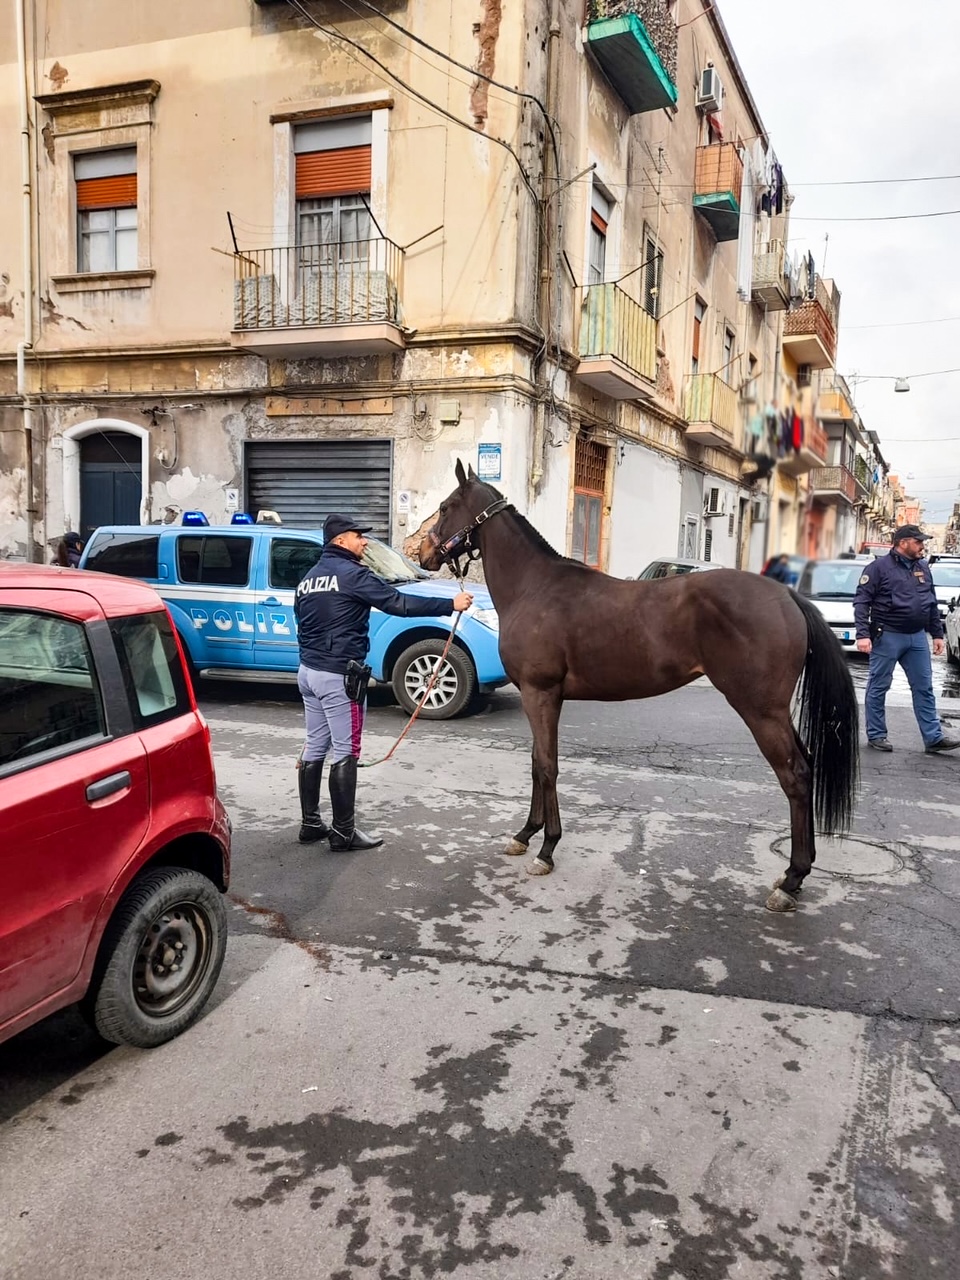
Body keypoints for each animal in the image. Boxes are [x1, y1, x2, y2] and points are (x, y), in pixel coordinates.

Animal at [293, 509, 473, 849]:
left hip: (313, 699)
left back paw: (313, 828)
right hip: (344, 698)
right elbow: (396, 601)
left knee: (312, 757)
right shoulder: (362, 582)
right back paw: (345, 837)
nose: (364, 541)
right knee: (345, 759)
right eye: (356, 535)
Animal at [422, 460, 865, 911]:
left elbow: (547, 767)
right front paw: (525, 835)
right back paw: (798, 874)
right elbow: (535, 764)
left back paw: (791, 879)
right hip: (774, 711)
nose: (422, 552)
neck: (534, 587)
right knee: (805, 766)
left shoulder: (539, 693)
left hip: (760, 710)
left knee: (795, 776)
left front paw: (546, 849)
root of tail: (788, 597)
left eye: (446, 507)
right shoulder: (542, 697)